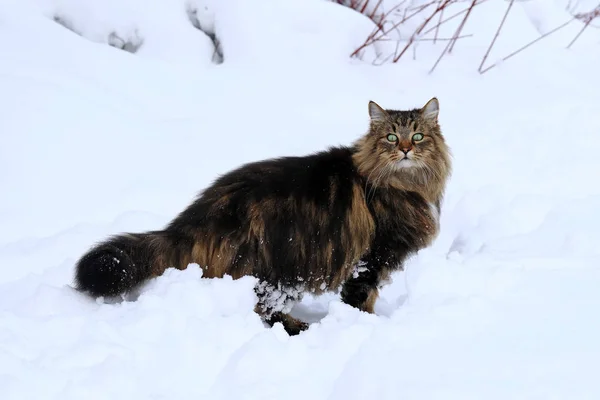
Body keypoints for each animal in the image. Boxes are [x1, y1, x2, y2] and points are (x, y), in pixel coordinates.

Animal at [74, 97, 450, 334]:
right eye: (391, 137)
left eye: (418, 136)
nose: (406, 149)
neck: (406, 185)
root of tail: (194, 216)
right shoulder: (372, 258)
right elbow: (362, 299)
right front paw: (366, 325)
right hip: (284, 268)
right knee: (264, 308)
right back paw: (297, 329)